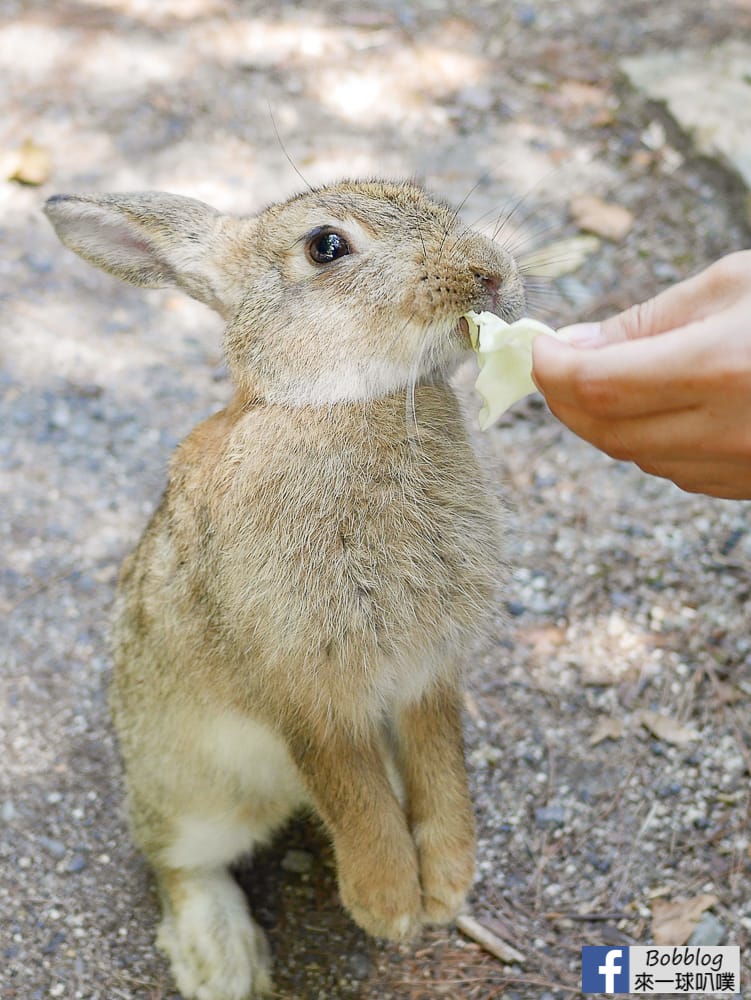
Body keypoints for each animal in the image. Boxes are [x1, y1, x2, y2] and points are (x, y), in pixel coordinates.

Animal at [44, 182, 524, 1000]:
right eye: (326, 247)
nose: (488, 273)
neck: (331, 407)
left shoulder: (428, 674)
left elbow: (441, 765)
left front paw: (448, 884)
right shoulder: (304, 689)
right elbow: (352, 796)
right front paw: (387, 903)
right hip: (198, 789)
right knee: (174, 860)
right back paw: (222, 961)